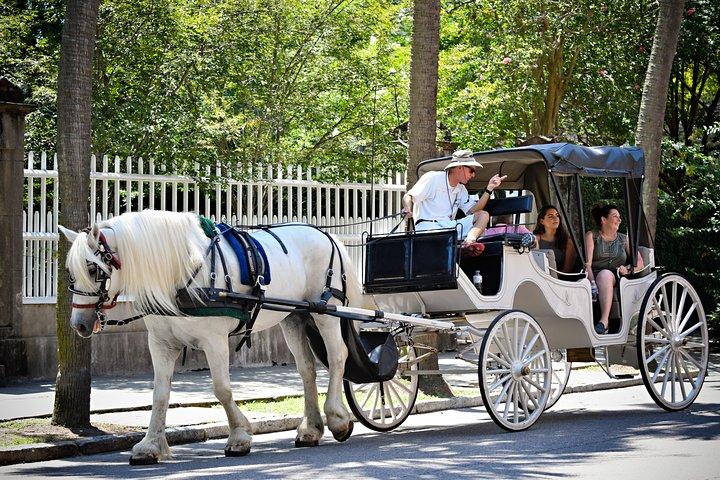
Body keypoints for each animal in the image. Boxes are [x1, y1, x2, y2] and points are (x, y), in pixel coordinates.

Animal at [59, 209, 369, 464]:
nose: (79, 325)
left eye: (93, 269)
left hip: (326, 312)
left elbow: (222, 389)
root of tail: (326, 235)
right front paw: (150, 445)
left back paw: (338, 419)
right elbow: (160, 394)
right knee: (306, 369)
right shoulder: (161, 344)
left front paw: (239, 436)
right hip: (294, 318)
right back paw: (310, 429)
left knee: (337, 357)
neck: (180, 273)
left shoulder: (214, 341)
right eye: (70, 272)